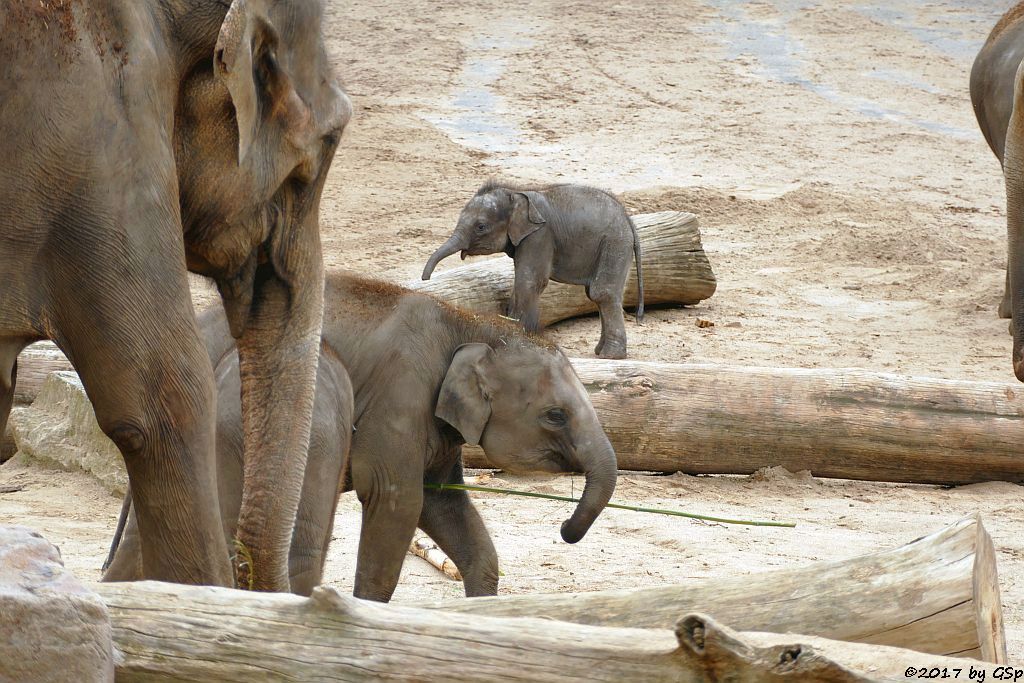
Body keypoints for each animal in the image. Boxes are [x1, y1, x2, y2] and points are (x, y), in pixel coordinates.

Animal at [110, 270, 614, 602]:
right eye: (555, 415)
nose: (566, 530)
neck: (469, 323)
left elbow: (443, 501)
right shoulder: (400, 397)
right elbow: (398, 500)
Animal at [419, 181, 643, 362]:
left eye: (481, 226)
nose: (425, 279)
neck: (516, 193)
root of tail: (629, 220)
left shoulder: (539, 236)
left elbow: (530, 281)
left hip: (614, 244)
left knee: (602, 293)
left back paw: (611, 356)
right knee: (597, 293)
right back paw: (600, 352)